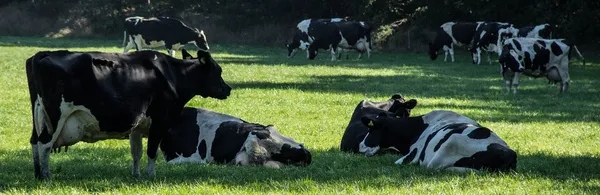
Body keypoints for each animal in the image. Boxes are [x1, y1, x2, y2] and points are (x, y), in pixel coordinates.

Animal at [25, 49, 230, 180]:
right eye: (218, 70)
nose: (228, 89)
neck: (173, 74)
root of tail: (43, 54)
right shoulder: (160, 121)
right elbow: (151, 151)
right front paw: (151, 176)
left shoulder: (137, 125)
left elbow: (136, 152)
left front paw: (136, 175)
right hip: (56, 116)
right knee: (44, 143)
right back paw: (46, 175)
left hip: (38, 115)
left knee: (34, 141)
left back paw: (37, 173)